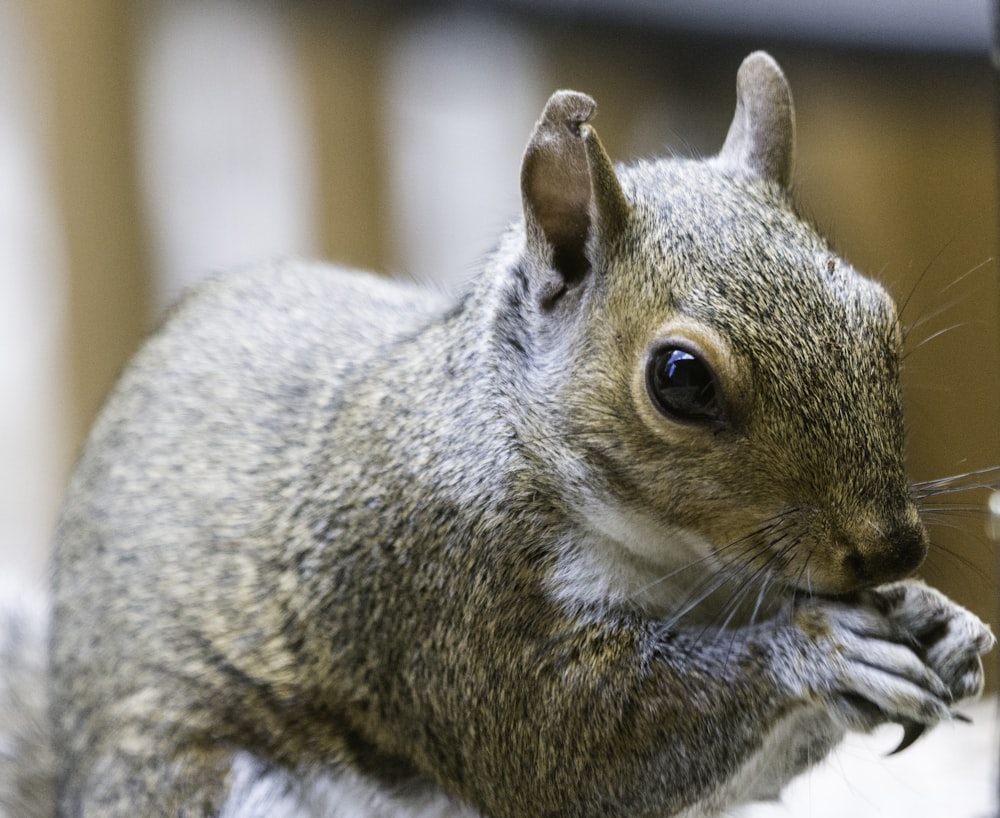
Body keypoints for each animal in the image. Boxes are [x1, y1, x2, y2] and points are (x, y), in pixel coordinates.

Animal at [9, 52, 1000, 816]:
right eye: (680, 379)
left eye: (878, 313)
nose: (892, 549)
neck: (690, 572)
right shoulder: (433, 582)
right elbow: (564, 743)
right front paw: (824, 646)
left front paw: (941, 621)